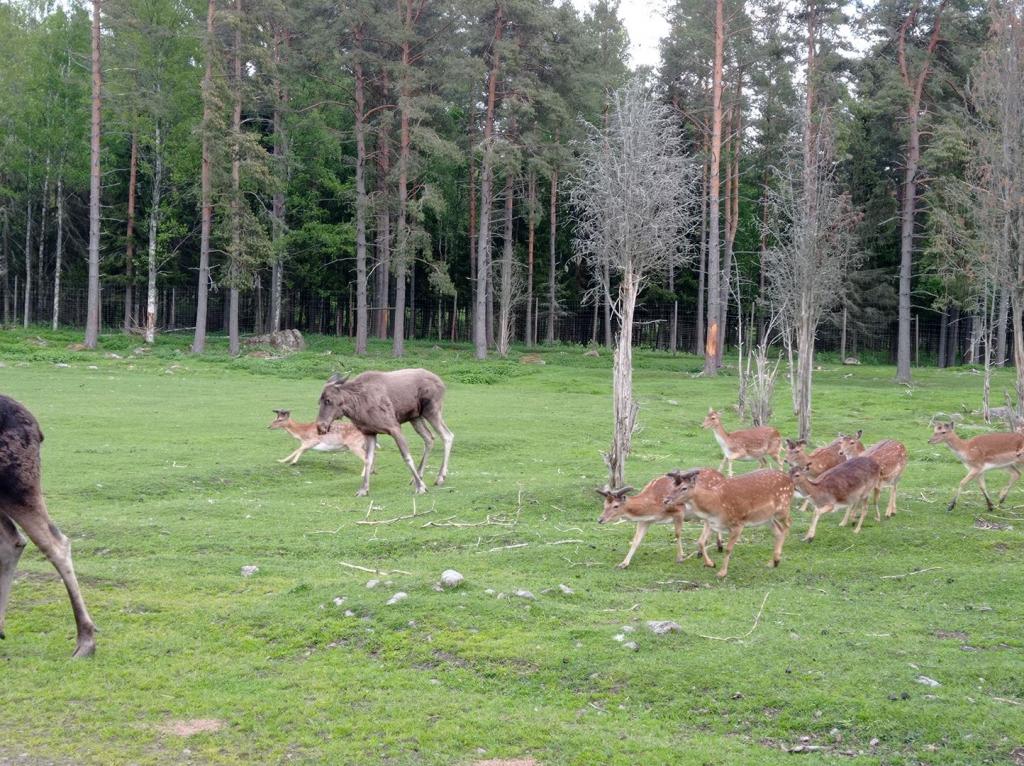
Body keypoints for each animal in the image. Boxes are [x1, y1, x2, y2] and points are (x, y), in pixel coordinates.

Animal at [315, 368, 452, 497]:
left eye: (328, 400)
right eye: (319, 401)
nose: (320, 427)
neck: (356, 407)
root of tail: (442, 383)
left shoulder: (394, 427)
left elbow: (407, 457)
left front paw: (421, 488)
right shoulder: (369, 432)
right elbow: (368, 460)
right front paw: (363, 490)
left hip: (432, 410)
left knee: (447, 435)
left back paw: (440, 477)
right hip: (415, 417)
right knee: (429, 438)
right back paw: (417, 477)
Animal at [659, 466, 794, 581]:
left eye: (684, 488)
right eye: (672, 486)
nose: (666, 500)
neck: (715, 504)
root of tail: (790, 480)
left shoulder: (738, 523)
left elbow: (728, 549)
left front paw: (721, 573)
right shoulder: (711, 523)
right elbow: (701, 542)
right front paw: (710, 564)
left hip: (783, 508)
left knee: (787, 525)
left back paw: (777, 559)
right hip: (767, 518)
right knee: (778, 531)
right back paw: (773, 562)